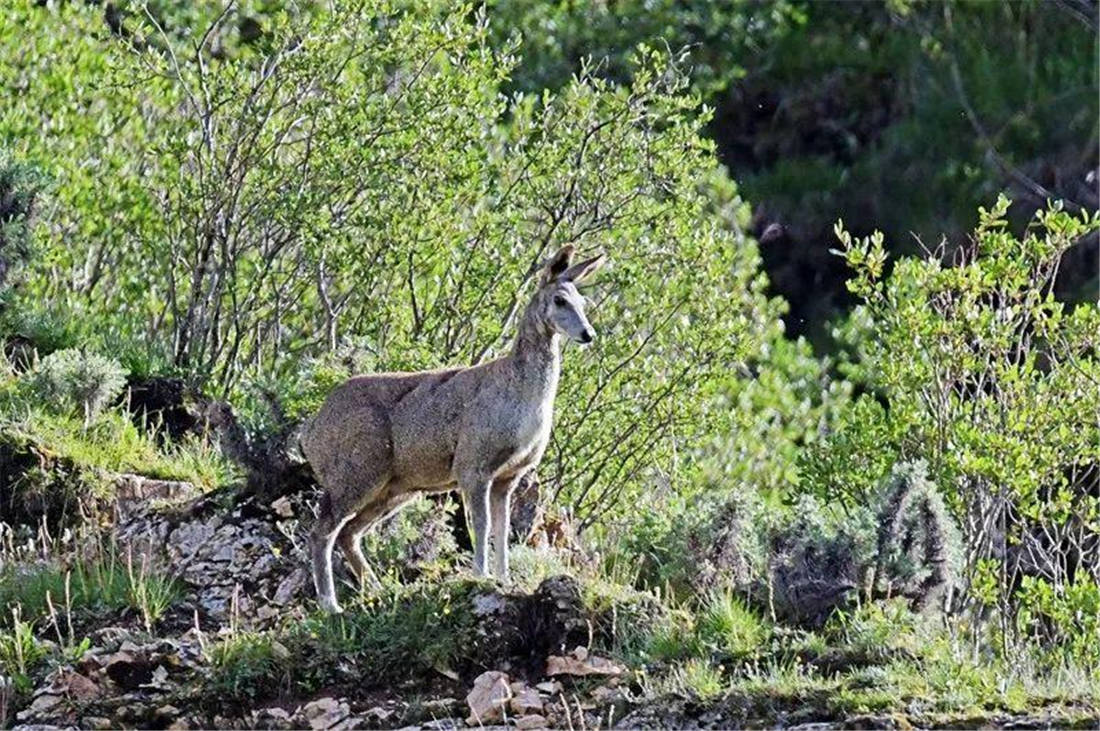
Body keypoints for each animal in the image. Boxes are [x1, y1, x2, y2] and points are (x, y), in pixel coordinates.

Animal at [301, 245, 607, 611]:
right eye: (560, 300)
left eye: (583, 302)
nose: (588, 334)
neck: (522, 396)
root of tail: (310, 433)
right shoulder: (472, 462)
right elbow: (483, 525)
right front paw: (482, 576)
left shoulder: (510, 475)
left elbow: (503, 530)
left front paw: (504, 579)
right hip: (355, 471)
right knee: (322, 531)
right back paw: (331, 605)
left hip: (395, 488)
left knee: (349, 533)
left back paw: (379, 589)